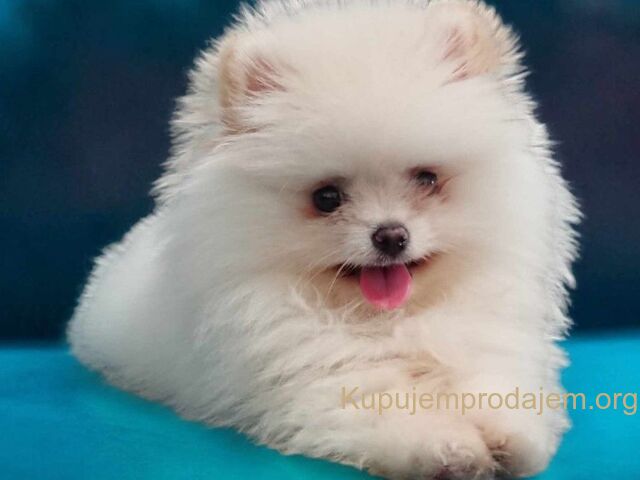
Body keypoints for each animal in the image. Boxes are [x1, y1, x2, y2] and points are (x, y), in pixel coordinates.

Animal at [68, 1, 580, 478]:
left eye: (427, 179)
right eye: (327, 197)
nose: (390, 235)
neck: (390, 321)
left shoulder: (480, 339)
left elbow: (492, 384)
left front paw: (509, 436)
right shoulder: (321, 382)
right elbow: (385, 409)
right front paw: (447, 448)